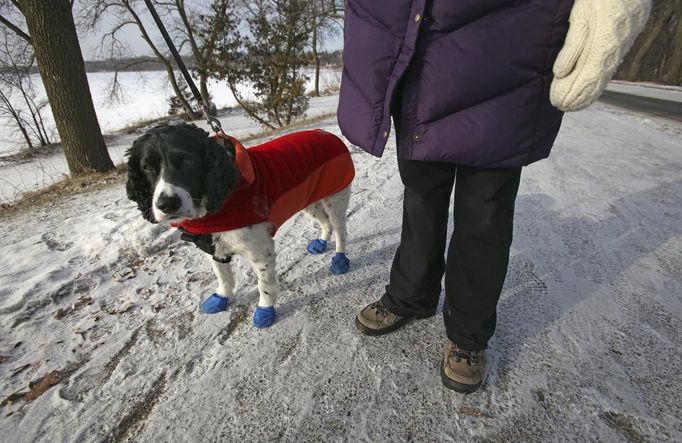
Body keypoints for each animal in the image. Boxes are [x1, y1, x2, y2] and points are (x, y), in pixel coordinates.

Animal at [125, 123, 354, 328]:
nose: (167, 204)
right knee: (326, 223)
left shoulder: (260, 250)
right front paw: (221, 297)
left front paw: (265, 309)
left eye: (188, 160)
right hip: (309, 200)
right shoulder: (212, 244)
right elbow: (223, 275)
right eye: (147, 167)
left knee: (341, 232)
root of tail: (326, 133)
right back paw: (321, 243)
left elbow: (265, 285)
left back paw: (340, 259)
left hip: (335, 199)